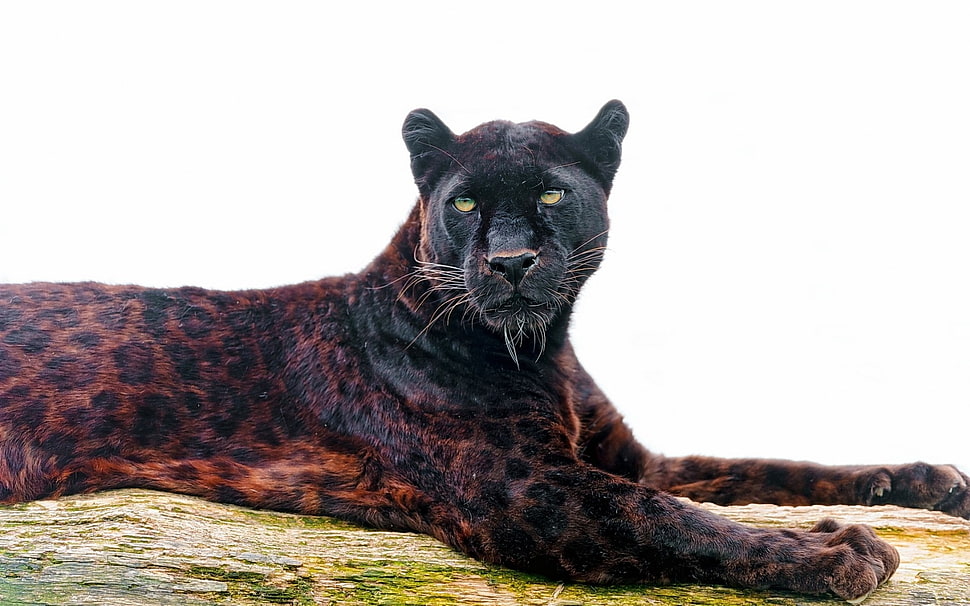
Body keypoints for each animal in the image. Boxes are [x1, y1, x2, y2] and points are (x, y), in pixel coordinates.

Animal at [1, 100, 967, 602]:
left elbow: (769, 467)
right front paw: (836, 553)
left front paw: (923, 482)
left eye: (552, 193)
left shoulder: (625, 456)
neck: (544, 352)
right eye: (465, 202)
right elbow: (679, 517)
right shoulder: (531, 492)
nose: (508, 260)